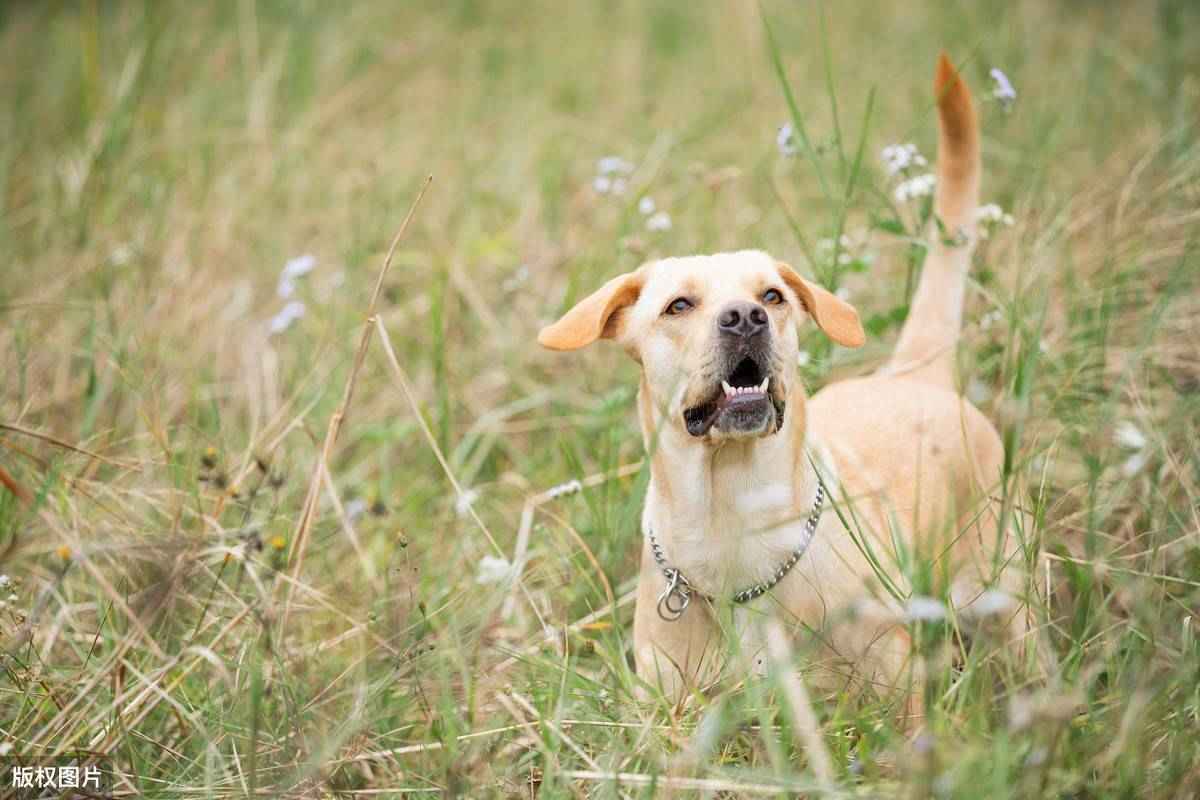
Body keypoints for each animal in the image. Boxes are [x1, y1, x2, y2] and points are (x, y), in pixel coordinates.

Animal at [540, 57, 1027, 719]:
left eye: (772, 295)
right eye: (678, 305)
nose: (746, 317)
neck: (729, 519)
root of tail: (912, 372)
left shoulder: (893, 698)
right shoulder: (668, 712)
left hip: (1006, 597)